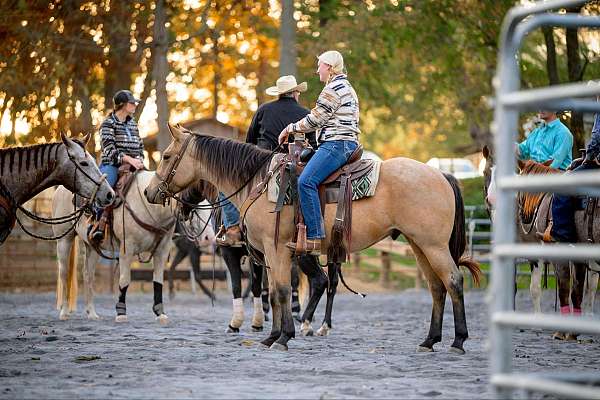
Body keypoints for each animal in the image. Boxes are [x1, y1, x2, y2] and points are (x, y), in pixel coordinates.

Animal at [52, 170, 176, 324]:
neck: (150, 207)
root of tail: (60, 189)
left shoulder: (162, 251)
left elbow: (158, 280)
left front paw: (160, 314)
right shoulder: (127, 248)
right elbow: (124, 279)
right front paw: (121, 313)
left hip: (92, 246)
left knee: (88, 275)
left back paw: (92, 313)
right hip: (64, 240)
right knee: (64, 274)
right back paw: (64, 312)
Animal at [146, 123, 482, 352]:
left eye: (166, 156)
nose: (150, 192)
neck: (259, 183)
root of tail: (441, 174)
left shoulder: (275, 249)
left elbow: (280, 291)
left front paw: (283, 337)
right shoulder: (270, 254)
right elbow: (274, 292)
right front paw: (273, 335)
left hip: (433, 246)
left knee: (453, 281)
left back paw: (458, 341)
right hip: (418, 246)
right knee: (436, 288)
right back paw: (429, 340)